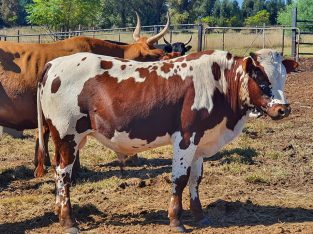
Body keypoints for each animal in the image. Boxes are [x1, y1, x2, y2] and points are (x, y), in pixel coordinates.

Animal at [36, 49, 298, 232]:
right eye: (262, 80)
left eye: (283, 78)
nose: (283, 109)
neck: (220, 84)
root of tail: (54, 63)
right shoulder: (185, 137)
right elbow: (180, 179)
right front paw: (176, 220)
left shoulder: (200, 142)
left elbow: (195, 179)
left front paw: (199, 214)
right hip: (67, 136)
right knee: (64, 175)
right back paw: (69, 221)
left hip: (67, 139)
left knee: (59, 173)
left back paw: (58, 210)